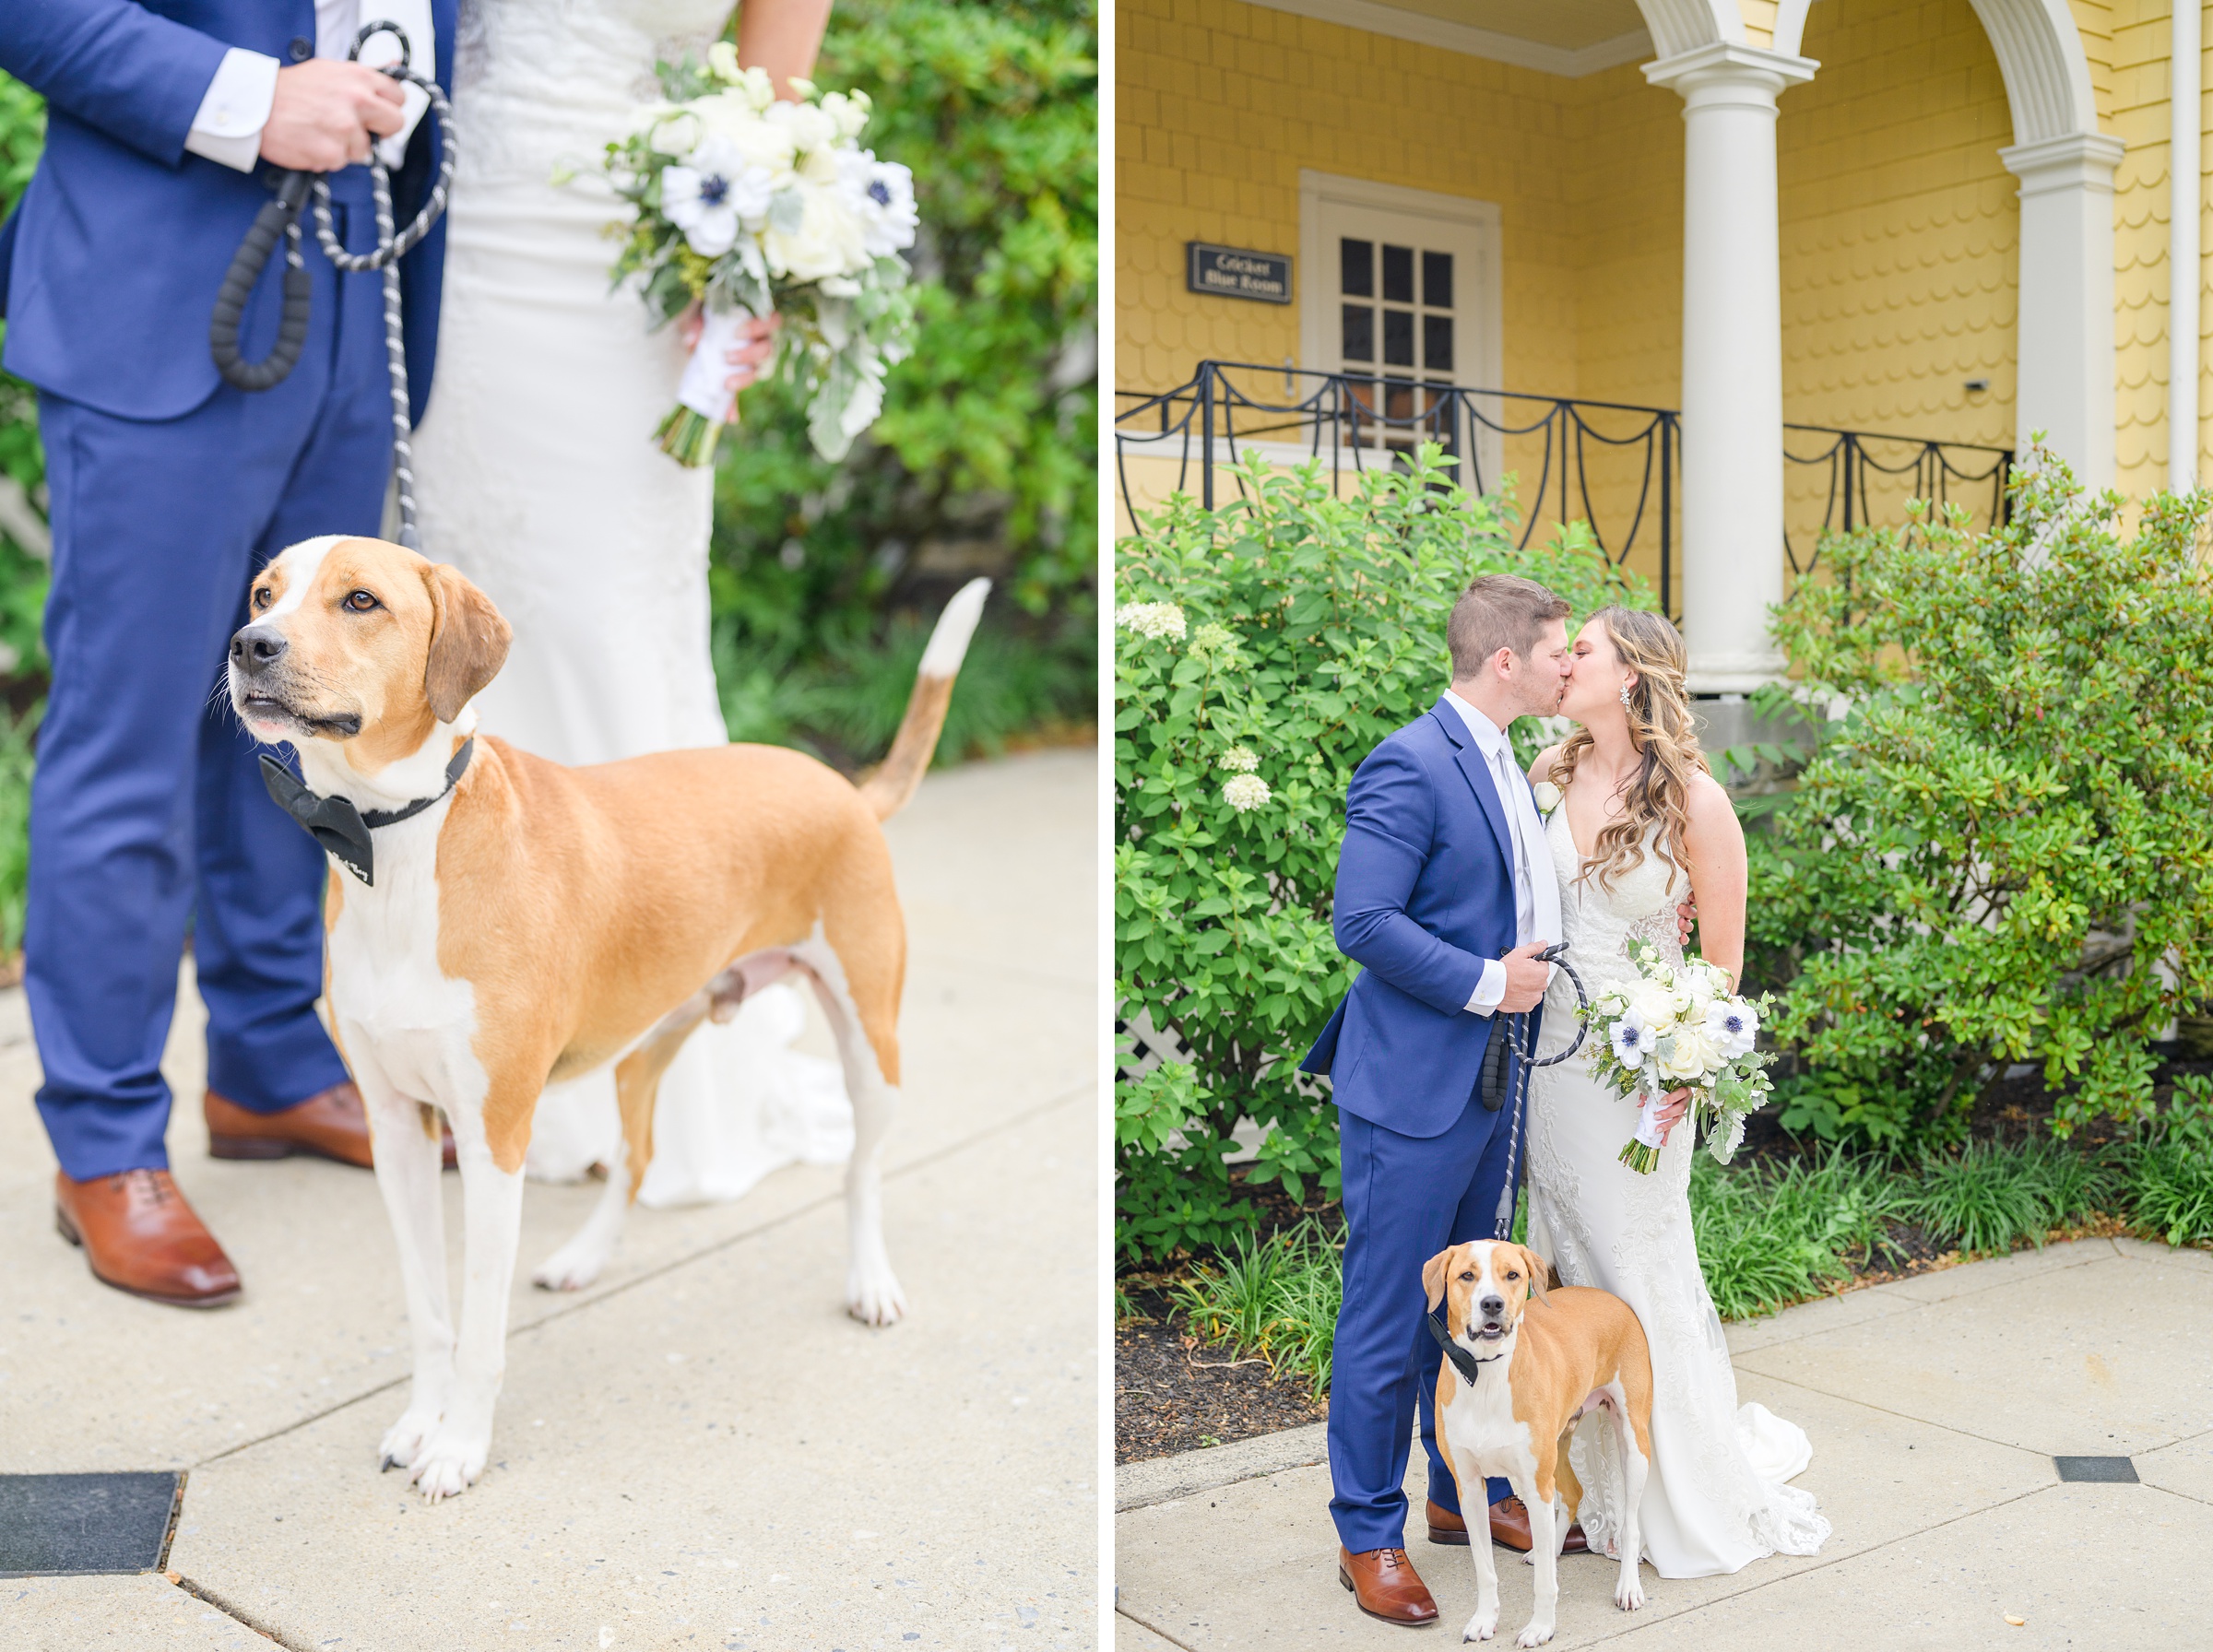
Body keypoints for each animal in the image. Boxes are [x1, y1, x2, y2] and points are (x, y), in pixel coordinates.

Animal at [227, 539, 987, 1494]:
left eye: (360, 600)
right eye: (263, 594)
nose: (249, 645)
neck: (396, 840)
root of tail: (842, 785)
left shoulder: (493, 1137)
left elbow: (479, 1325)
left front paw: (459, 1445)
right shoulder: (397, 1129)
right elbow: (431, 1311)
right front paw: (418, 1423)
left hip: (870, 1041)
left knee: (859, 1169)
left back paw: (871, 1282)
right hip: (643, 1048)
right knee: (637, 1157)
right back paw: (584, 1258)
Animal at [1425, 1238, 1655, 1645]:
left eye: (1512, 1275)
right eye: (1466, 1275)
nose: (1492, 1304)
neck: (1487, 1376)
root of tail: (1610, 1297)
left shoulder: (1535, 1484)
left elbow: (1545, 1582)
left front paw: (1541, 1628)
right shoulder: (1469, 1489)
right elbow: (1485, 1569)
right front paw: (1485, 1619)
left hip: (1632, 1444)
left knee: (1629, 1524)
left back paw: (1628, 1586)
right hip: (1557, 1449)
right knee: (1574, 1494)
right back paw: (1550, 1548)